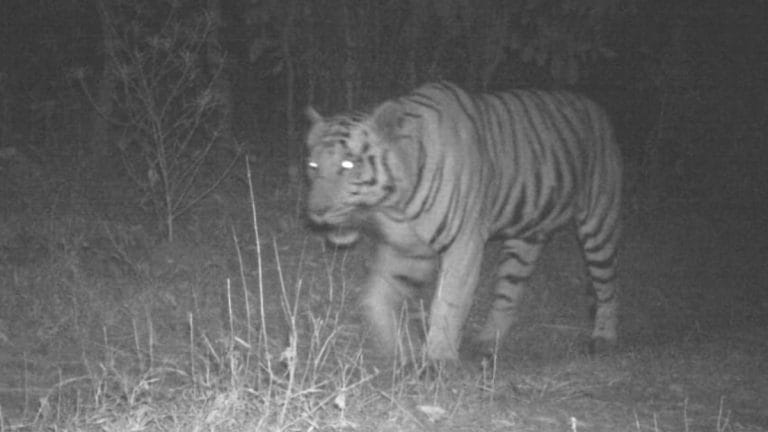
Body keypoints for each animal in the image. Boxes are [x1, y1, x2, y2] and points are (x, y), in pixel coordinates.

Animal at [305, 81, 622, 363]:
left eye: (348, 164)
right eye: (313, 165)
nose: (316, 211)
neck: (396, 206)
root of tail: (598, 110)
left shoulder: (464, 244)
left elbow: (449, 302)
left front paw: (437, 360)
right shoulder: (410, 249)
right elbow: (376, 297)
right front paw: (398, 348)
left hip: (598, 226)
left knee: (607, 287)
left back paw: (603, 338)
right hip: (525, 241)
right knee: (509, 293)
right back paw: (488, 341)